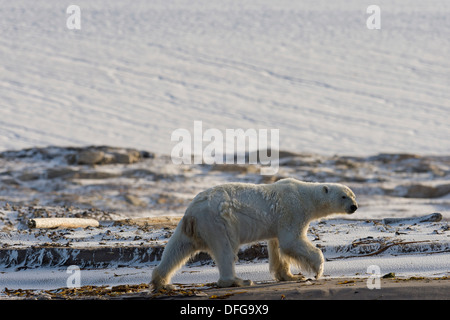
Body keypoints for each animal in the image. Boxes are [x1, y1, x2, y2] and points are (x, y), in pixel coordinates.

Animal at [152, 178, 358, 290]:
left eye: (353, 195)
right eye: (344, 196)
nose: (354, 207)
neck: (305, 196)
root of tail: (192, 212)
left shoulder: (278, 222)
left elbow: (278, 247)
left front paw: (290, 276)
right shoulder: (292, 210)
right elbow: (292, 241)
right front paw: (317, 270)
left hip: (192, 226)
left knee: (177, 248)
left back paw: (161, 281)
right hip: (219, 222)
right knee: (225, 249)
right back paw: (239, 281)